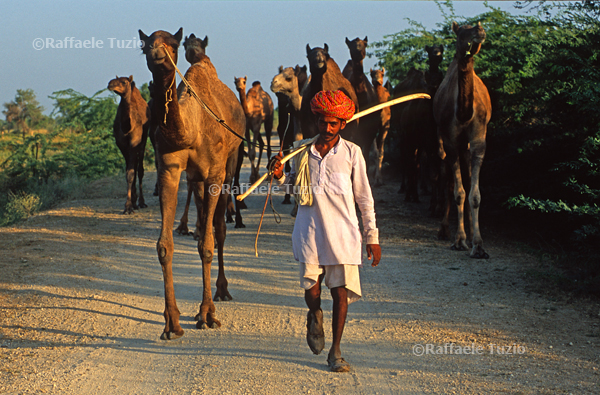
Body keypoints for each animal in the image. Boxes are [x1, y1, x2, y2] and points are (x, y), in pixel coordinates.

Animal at [105, 75, 149, 215]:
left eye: (124, 82)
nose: (110, 84)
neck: (127, 127)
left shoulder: (134, 143)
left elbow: (131, 173)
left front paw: (128, 207)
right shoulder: (122, 146)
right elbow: (128, 173)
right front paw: (131, 204)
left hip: (144, 140)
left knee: (140, 169)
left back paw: (141, 202)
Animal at [139, 27, 246, 338]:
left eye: (173, 45)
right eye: (145, 45)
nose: (157, 54)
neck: (192, 127)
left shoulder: (214, 173)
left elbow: (208, 244)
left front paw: (207, 314)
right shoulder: (170, 169)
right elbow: (165, 246)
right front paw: (172, 323)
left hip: (230, 161)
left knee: (219, 228)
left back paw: (222, 291)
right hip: (197, 177)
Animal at [432, 23, 492, 262]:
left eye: (478, 26)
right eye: (461, 33)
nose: (480, 32)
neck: (464, 113)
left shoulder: (478, 141)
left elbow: (475, 195)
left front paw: (479, 245)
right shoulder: (450, 142)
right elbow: (458, 192)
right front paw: (459, 240)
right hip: (444, 143)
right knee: (448, 180)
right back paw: (445, 230)